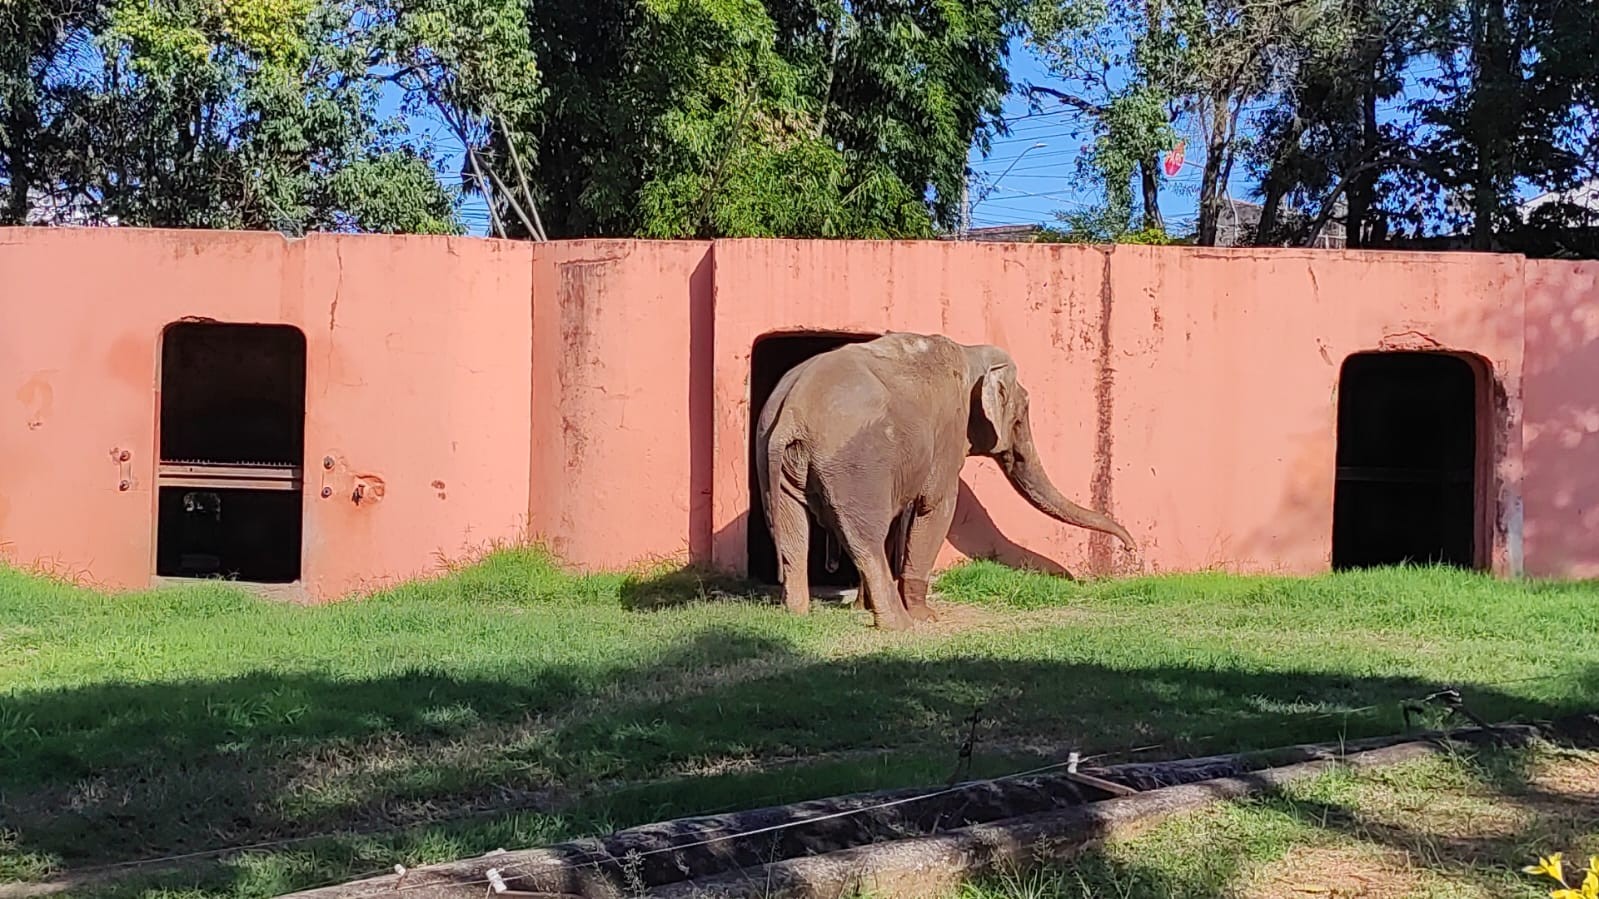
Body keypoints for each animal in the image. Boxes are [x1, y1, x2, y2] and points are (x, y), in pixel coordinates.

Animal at [753, 331, 1138, 630]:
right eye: (1020, 417)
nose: (1132, 550)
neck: (971, 353)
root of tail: (792, 411)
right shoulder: (947, 437)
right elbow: (936, 508)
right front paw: (928, 617)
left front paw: (863, 608)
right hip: (854, 465)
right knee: (864, 539)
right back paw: (899, 625)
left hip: (776, 458)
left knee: (792, 533)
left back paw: (799, 615)